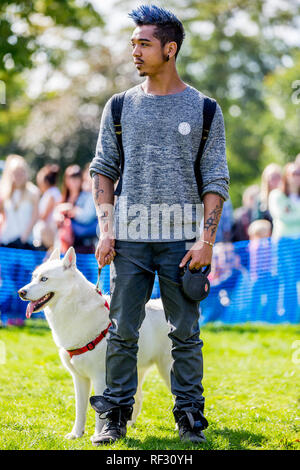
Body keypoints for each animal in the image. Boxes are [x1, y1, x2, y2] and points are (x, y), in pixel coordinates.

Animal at [18, 246, 172, 444]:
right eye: (33, 277)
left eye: (44, 279)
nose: (21, 292)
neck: (73, 306)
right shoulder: (79, 378)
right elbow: (80, 409)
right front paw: (76, 434)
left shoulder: (100, 378)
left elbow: (100, 412)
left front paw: (99, 435)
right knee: (137, 398)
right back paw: (128, 425)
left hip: (167, 370)